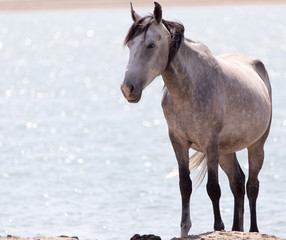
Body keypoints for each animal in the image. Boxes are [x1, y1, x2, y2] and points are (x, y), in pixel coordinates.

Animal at [119, 1, 272, 237]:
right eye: (129, 46)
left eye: (151, 45)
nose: (128, 89)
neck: (189, 88)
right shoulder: (178, 141)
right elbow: (185, 184)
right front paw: (185, 227)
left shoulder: (210, 142)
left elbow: (213, 188)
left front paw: (218, 227)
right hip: (226, 150)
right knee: (237, 182)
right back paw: (236, 228)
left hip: (256, 145)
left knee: (252, 185)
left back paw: (253, 230)